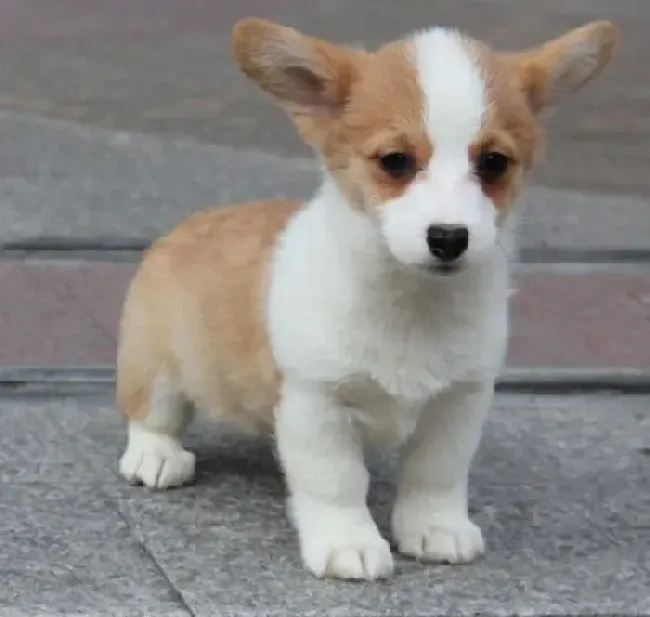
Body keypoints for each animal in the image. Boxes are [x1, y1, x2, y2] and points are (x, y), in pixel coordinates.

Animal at [114, 16, 616, 580]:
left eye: (493, 163)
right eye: (395, 161)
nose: (449, 238)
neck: (413, 302)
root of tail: (186, 224)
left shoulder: (459, 401)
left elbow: (436, 474)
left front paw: (435, 528)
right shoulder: (318, 401)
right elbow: (336, 482)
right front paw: (346, 542)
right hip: (155, 363)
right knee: (153, 413)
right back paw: (156, 457)